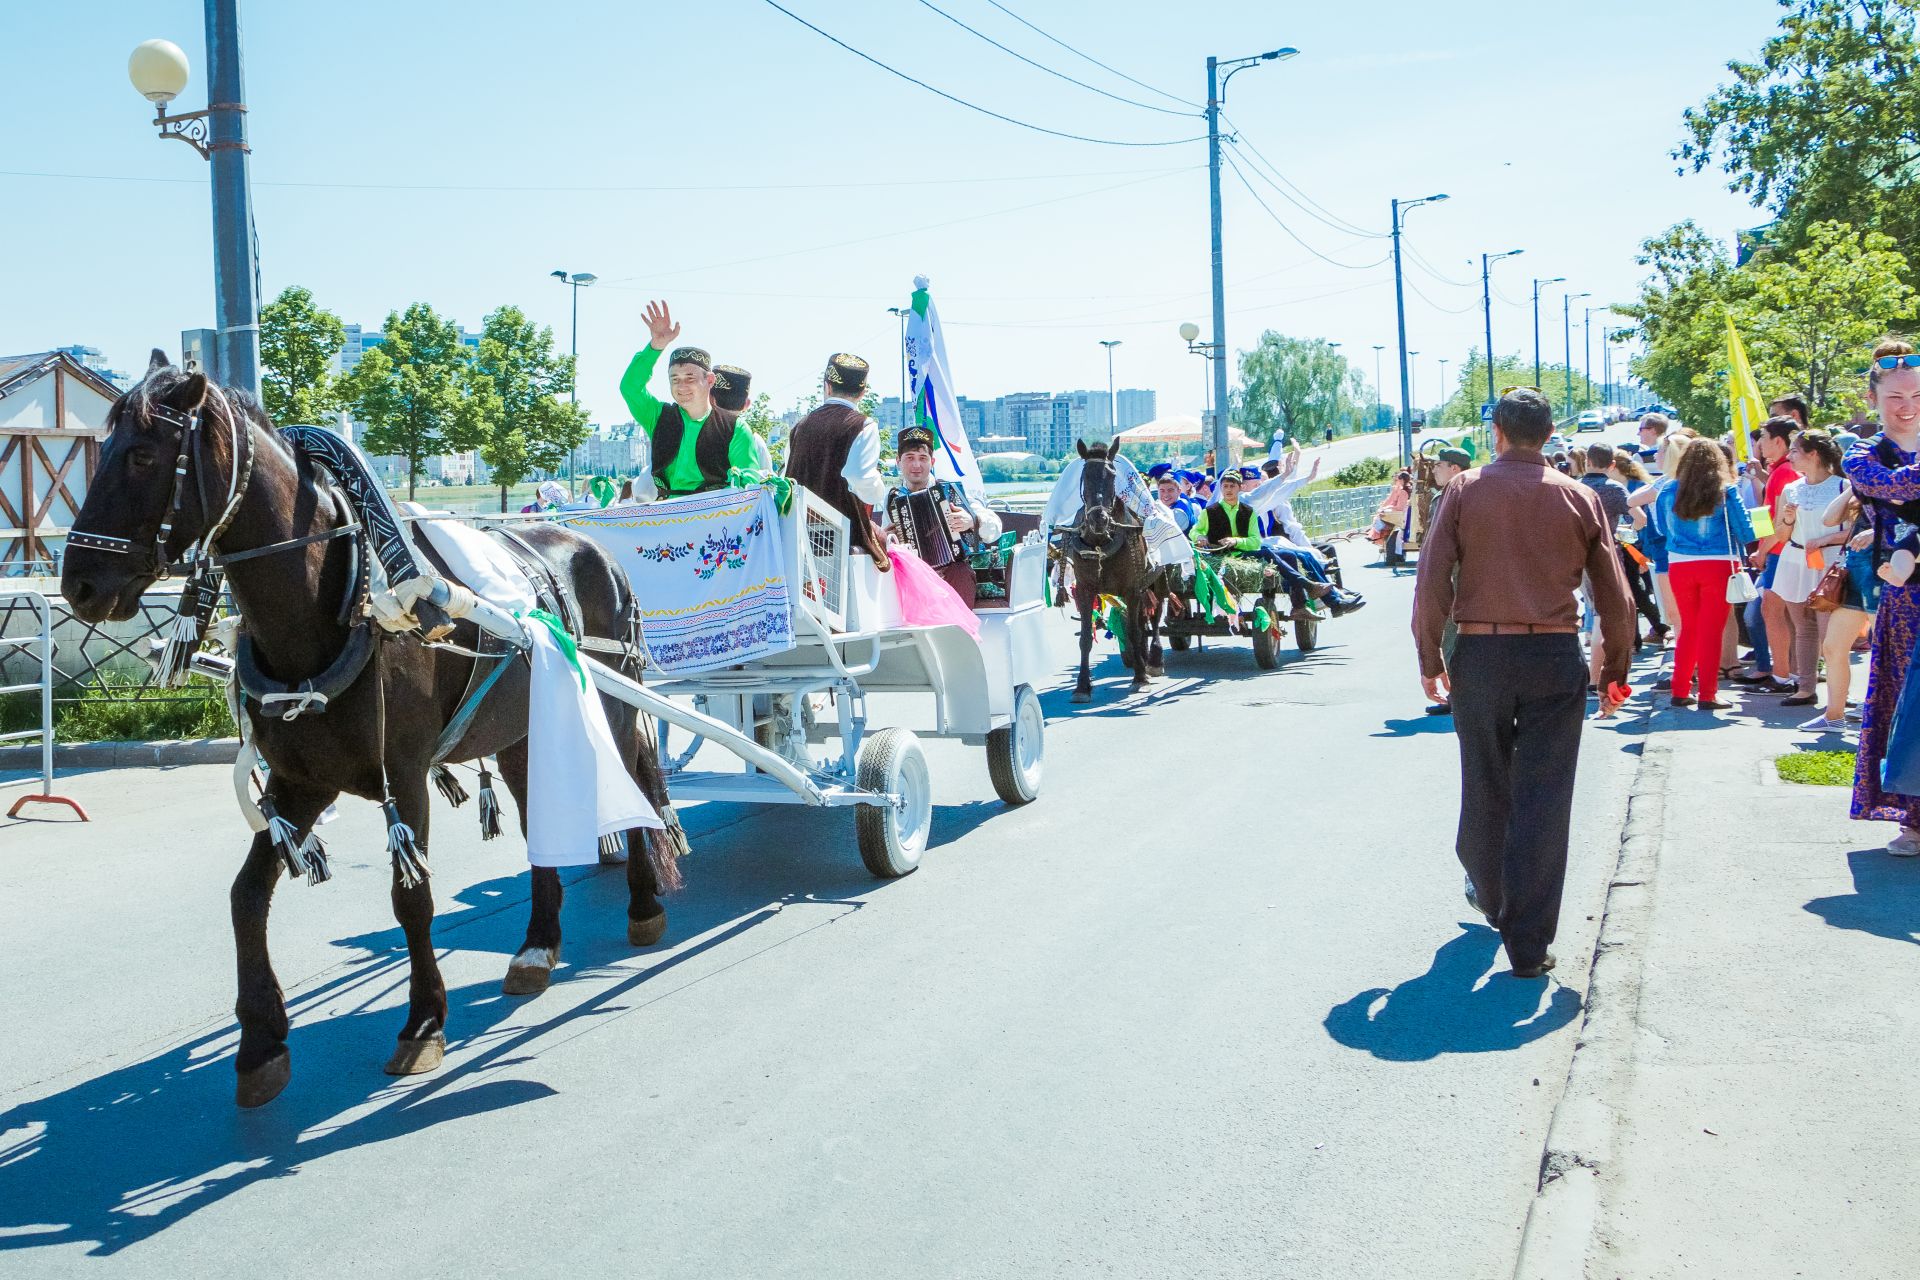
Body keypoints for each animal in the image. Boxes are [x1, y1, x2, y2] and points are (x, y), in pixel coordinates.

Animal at [61, 353, 691, 1113]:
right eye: (101, 452)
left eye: (145, 455)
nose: (78, 584)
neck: (339, 600)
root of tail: (595, 544)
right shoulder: (299, 782)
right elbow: (246, 897)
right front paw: (261, 1042)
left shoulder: (406, 772)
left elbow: (410, 897)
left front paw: (423, 1022)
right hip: (522, 731)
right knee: (540, 814)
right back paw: (537, 947)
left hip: (613, 707)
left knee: (638, 793)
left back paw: (642, 904)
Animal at [1052, 441, 1167, 702]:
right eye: (1085, 475)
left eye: (1113, 475)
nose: (1099, 519)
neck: (1100, 541)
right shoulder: (1085, 589)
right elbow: (1086, 638)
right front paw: (1082, 686)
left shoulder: (1133, 589)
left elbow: (1134, 631)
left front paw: (1140, 678)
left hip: (1155, 581)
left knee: (1154, 617)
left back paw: (1153, 659)